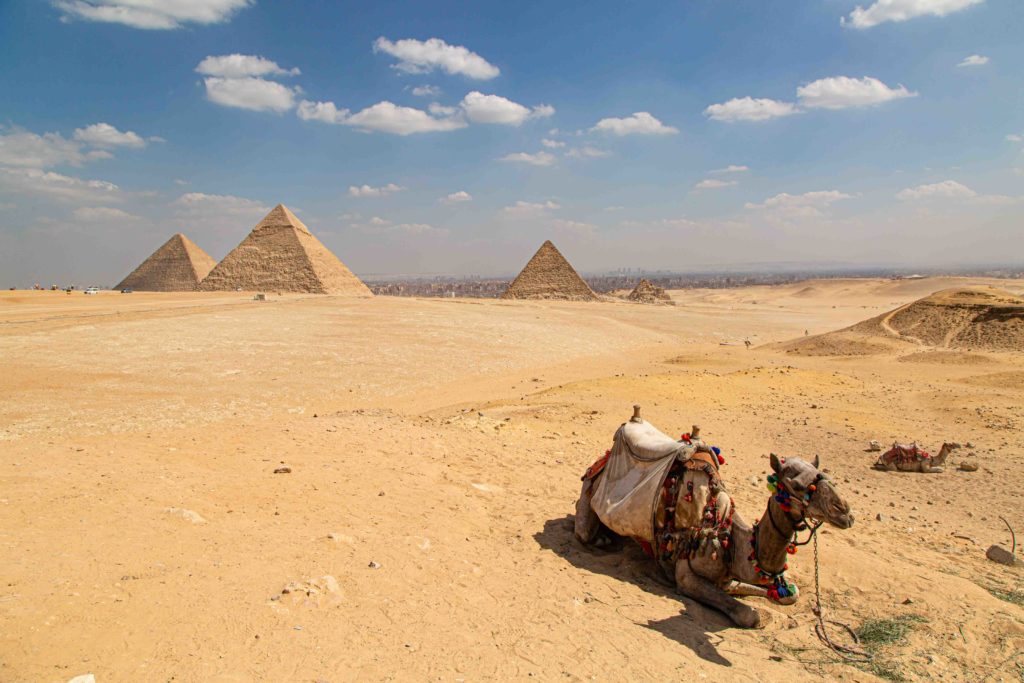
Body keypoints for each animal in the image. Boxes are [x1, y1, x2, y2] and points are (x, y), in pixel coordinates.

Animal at [577, 411, 856, 630]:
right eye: (795, 485)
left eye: (824, 475)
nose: (844, 512)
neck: (729, 536)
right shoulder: (687, 576)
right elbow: (749, 615)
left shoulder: (731, 574)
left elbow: (791, 594)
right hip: (589, 495)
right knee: (585, 533)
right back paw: (602, 539)